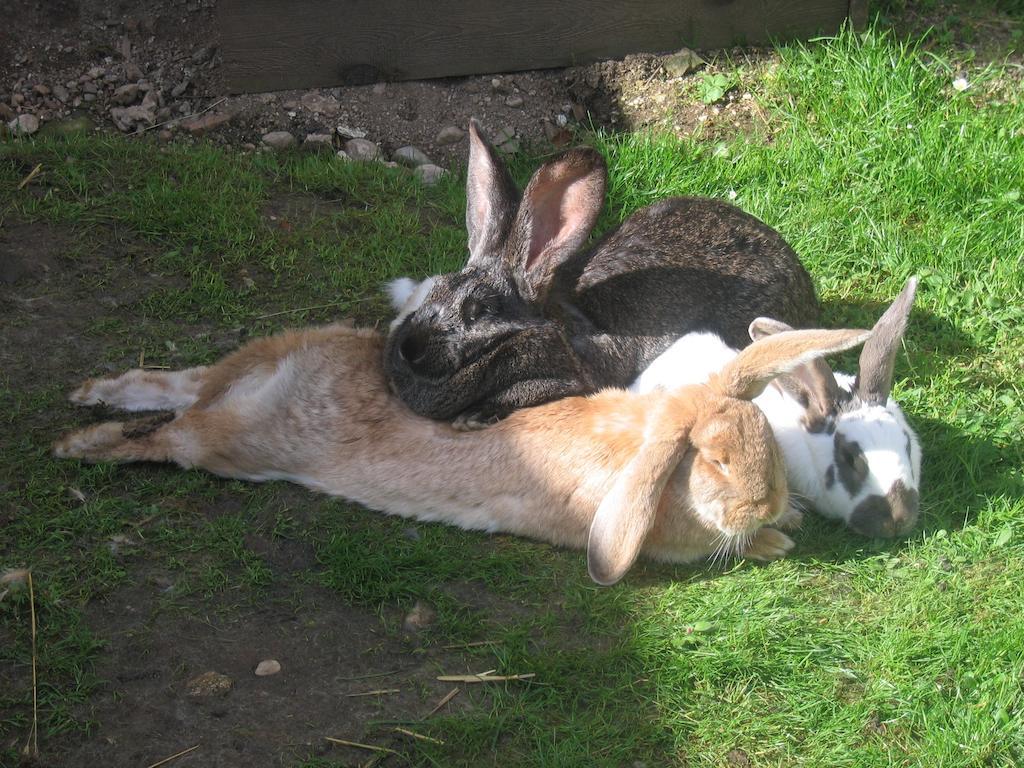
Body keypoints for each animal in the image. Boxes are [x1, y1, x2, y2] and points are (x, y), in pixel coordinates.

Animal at [56, 323, 868, 581]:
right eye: (718, 462)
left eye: (762, 434)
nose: (768, 499)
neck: (653, 459)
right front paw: (775, 539)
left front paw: (787, 521)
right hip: (232, 447)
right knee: (171, 433)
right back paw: (81, 445)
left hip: (245, 372)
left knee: (177, 383)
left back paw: (91, 393)